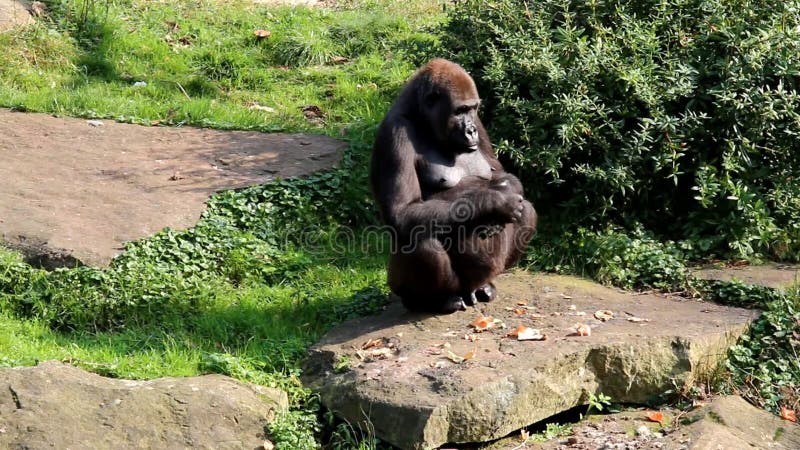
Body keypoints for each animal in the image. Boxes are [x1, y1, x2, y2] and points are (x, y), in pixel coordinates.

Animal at [370, 59, 536, 312]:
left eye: (472, 109)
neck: (420, 118)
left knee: (526, 210)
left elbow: (502, 174)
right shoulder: (395, 132)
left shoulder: (480, 121)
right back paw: (436, 300)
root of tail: (467, 291)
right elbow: (403, 211)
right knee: (421, 239)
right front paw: (496, 203)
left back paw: (483, 286)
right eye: (459, 111)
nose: (471, 130)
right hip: (402, 286)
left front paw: (503, 193)